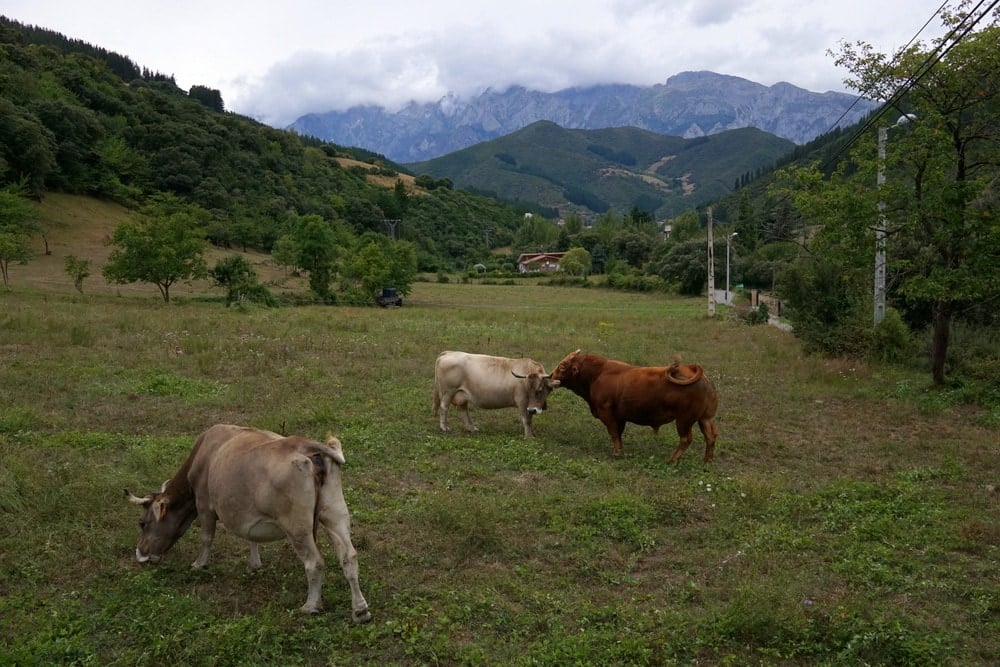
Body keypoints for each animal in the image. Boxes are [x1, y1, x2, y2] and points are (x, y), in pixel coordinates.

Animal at [124, 426, 372, 624]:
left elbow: (206, 537)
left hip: (297, 526)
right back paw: (360, 611)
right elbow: (251, 538)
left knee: (314, 562)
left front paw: (199, 564)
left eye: (142, 523)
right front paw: (254, 565)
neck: (206, 454)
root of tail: (303, 443)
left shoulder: (204, 504)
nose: (140, 553)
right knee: (349, 556)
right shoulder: (247, 512)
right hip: (335, 512)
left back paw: (311, 606)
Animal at [432, 350, 560, 438]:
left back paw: (472, 429)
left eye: (540, 390)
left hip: (461, 394)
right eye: (528, 390)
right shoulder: (523, 402)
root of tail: (449, 353)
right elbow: (527, 419)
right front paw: (529, 437)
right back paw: (444, 427)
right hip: (448, 392)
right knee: (444, 407)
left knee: (463, 411)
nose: (533, 410)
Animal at [548, 350, 720, 464]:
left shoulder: (606, 412)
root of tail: (699, 375)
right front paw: (619, 450)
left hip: (684, 420)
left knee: (686, 439)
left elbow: (613, 433)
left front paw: (617, 453)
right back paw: (707, 460)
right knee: (711, 437)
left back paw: (672, 459)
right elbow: (618, 433)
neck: (597, 374)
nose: (550, 376)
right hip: (705, 418)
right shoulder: (619, 417)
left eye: (562, 366)